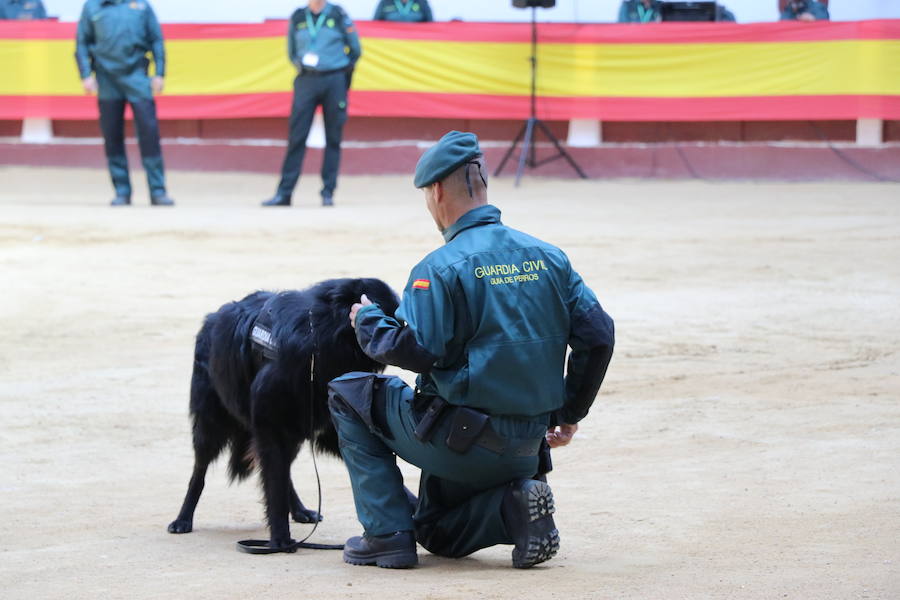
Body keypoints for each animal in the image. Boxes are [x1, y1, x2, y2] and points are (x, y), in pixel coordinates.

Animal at [168, 276, 398, 548]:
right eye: (392, 315)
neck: (318, 338)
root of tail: (211, 319)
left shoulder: (323, 427)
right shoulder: (270, 426)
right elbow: (274, 484)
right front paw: (280, 539)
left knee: (283, 471)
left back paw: (299, 510)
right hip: (211, 425)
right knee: (200, 471)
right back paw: (183, 518)